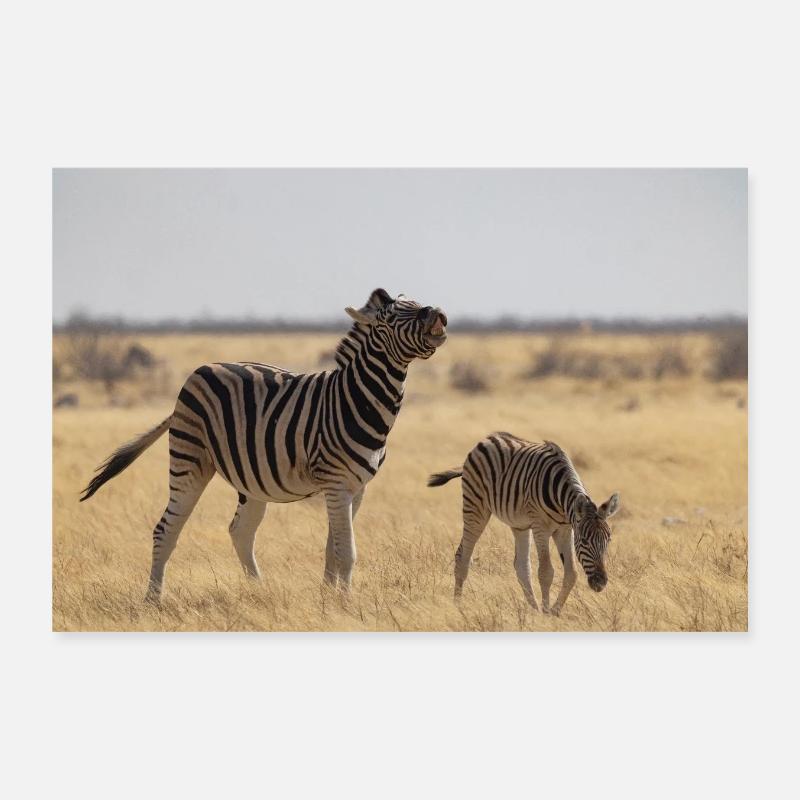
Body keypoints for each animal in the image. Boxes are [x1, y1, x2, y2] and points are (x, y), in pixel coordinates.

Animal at [80, 288, 448, 602]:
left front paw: (328, 599)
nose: (437, 313)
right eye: (390, 317)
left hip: (252, 479)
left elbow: (333, 548)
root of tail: (201, 369)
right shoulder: (336, 483)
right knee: (166, 530)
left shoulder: (356, 488)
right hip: (189, 459)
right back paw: (153, 600)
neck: (354, 400)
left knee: (240, 531)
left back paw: (259, 591)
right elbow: (346, 552)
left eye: (417, 303)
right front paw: (345, 604)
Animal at [428, 432, 620, 615]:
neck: (561, 504)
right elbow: (546, 572)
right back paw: (457, 605)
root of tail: (487, 439)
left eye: (608, 541)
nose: (600, 583)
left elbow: (571, 573)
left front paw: (555, 611)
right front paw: (546, 613)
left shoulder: (565, 530)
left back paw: (533, 609)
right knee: (462, 556)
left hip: (519, 525)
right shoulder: (540, 527)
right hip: (475, 505)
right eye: (585, 541)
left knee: (521, 566)